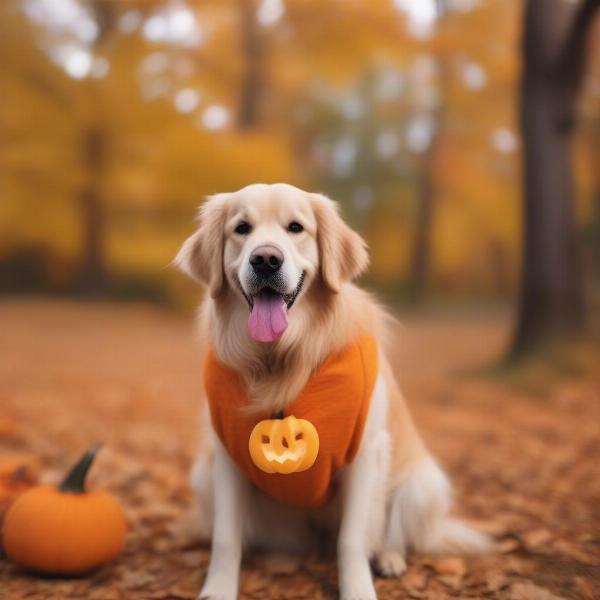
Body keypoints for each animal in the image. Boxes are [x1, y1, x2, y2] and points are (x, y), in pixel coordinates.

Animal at [175, 183, 492, 600]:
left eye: (296, 227)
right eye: (241, 228)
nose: (265, 260)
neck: (283, 359)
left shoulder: (365, 454)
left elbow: (352, 540)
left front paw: (359, 589)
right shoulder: (227, 456)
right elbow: (226, 538)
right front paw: (218, 589)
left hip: (423, 484)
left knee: (393, 534)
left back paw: (390, 559)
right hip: (205, 474)